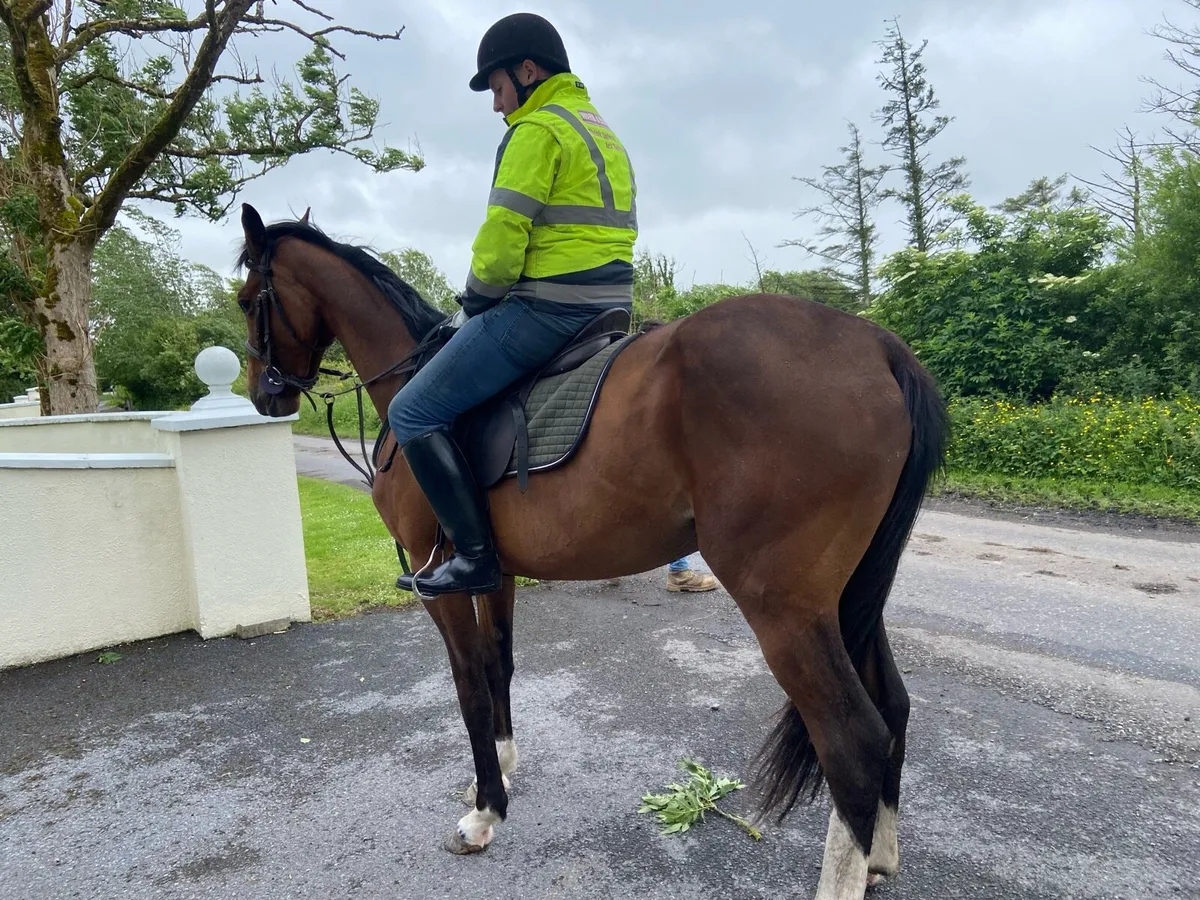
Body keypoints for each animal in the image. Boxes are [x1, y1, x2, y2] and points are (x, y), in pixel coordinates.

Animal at [232, 203, 948, 900]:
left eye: (246, 299)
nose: (265, 395)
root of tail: (878, 346)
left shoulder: (442, 582)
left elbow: (468, 686)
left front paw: (484, 814)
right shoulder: (494, 574)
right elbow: (498, 666)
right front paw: (501, 772)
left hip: (786, 609)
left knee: (853, 741)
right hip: (848, 597)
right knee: (894, 708)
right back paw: (879, 858)